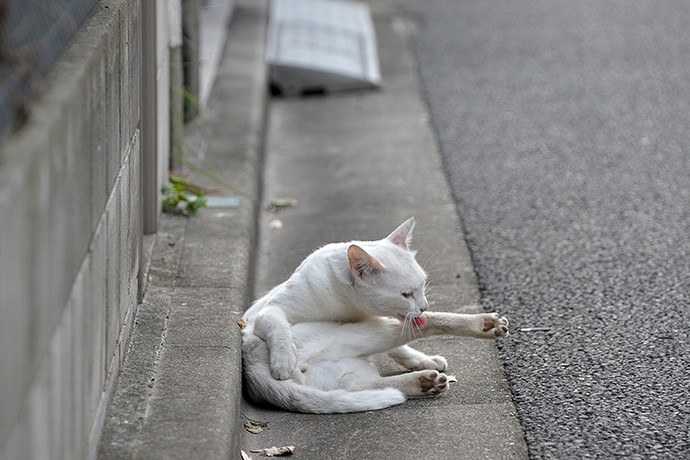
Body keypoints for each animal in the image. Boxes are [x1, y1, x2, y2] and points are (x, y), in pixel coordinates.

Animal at [241, 218, 506, 414]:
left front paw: (422, 359)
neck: (348, 305)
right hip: (364, 332)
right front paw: (283, 361)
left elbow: (401, 350)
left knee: (371, 383)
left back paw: (425, 381)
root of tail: (253, 374)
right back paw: (486, 324)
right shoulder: (269, 311)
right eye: (406, 294)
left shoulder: (375, 318)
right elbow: (277, 325)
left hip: (354, 369)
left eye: (423, 285)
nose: (423, 306)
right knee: (429, 324)